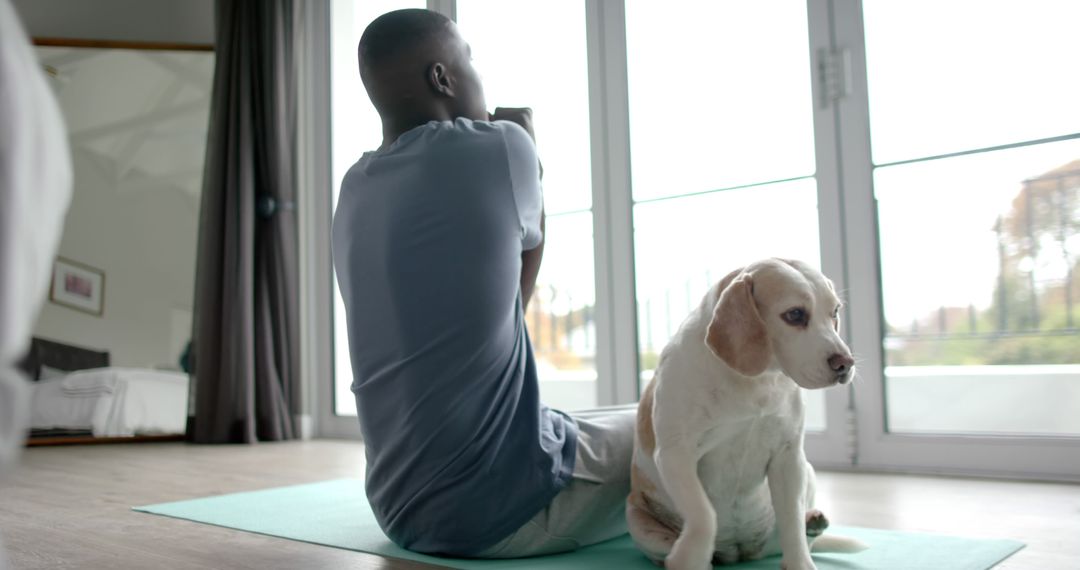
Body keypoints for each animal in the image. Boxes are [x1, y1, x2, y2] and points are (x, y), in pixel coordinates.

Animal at [630, 259, 864, 570]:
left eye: (835, 311)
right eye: (795, 314)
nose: (845, 363)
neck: (756, 382)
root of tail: (740, 552)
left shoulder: (789, 458)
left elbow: (791, 523)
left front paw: (800, 562)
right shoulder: (675, 455)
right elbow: (704, 515)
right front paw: (691, 555)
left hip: (807, 471)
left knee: (797, 532)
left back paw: (812, 523)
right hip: (638, 525)